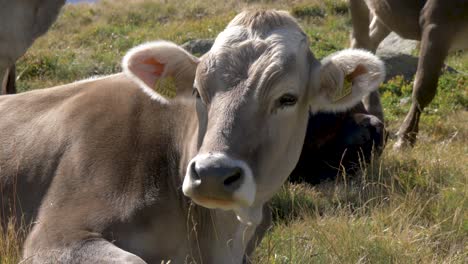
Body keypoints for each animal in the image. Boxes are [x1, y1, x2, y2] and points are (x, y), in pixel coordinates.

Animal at [350, 0, 468, 148]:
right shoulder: (436, 22)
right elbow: (423, 89)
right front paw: (404, 140)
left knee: (368, 42)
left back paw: (375, 112)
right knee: (360, 41)